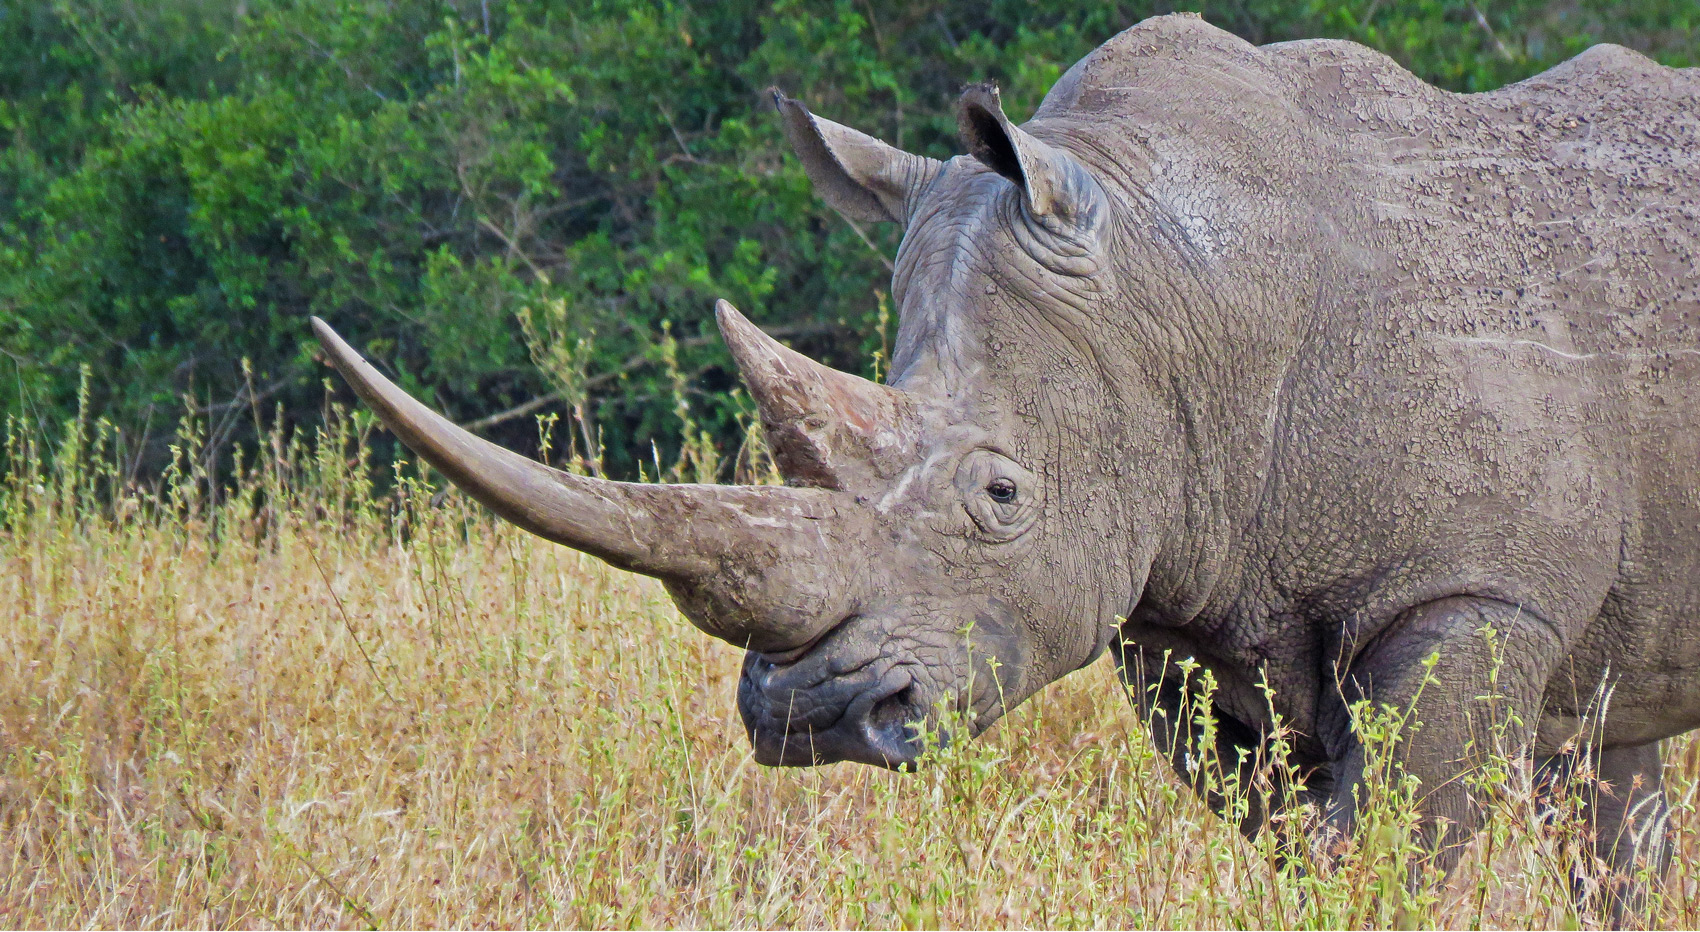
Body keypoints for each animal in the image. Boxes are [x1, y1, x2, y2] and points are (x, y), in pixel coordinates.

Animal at [313, 13, 1700, 912]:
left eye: (998, 494)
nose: (813, 715)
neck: (1179, 298)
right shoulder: (1185, 601)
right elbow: (1296, 843)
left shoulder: (1466, 589)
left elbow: (1392, 849)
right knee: (1608, 757)